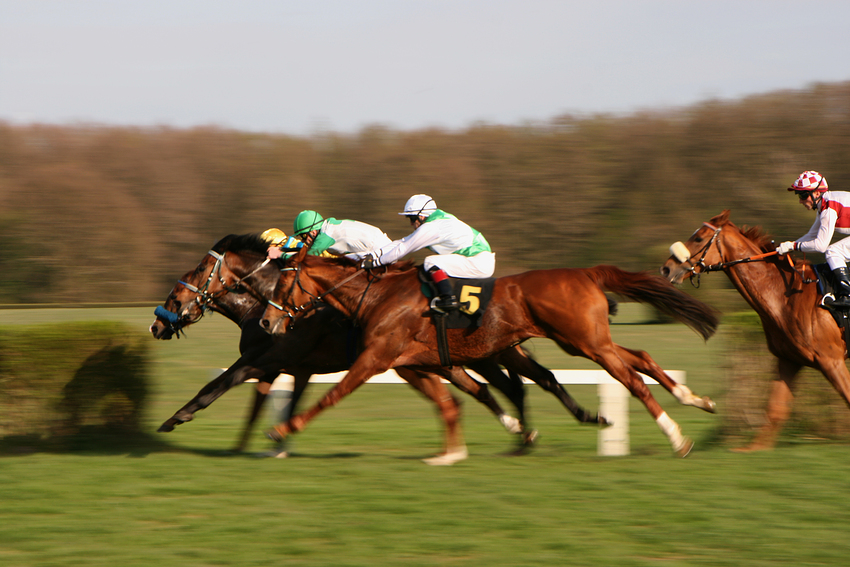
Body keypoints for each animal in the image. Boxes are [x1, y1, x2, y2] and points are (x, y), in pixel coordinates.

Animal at [262, 248, 720, 458]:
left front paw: (283, 430)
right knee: (639, 356)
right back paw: (695, 399)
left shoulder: (377, 359)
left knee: (630, 377)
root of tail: (586, 272)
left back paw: (676, 436)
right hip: (582, 340)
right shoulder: (418, 363)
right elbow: (470, 395)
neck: (377, 295)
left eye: (283, 285)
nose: (266, 323)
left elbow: (333, 394)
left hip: (585, 342)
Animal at [660, 210, 850, 452]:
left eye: (698, 238)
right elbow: (775, 410)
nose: (666, 268)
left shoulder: (831, 360)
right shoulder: (789, 360)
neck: (786, 296)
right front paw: (753, 449)